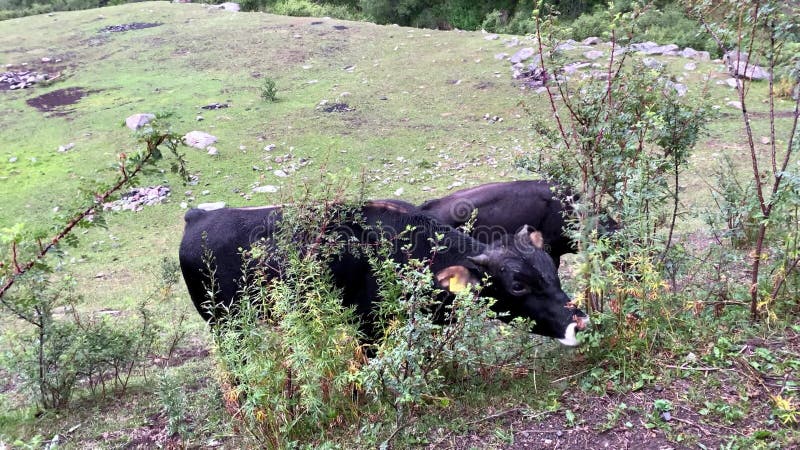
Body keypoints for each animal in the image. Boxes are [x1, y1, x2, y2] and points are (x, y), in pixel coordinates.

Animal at [178, 200, 584, 344]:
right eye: (517, 284)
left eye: (552, 269)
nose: (578, 323)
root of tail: (199, 216)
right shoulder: (367, 323)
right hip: (225, 324)